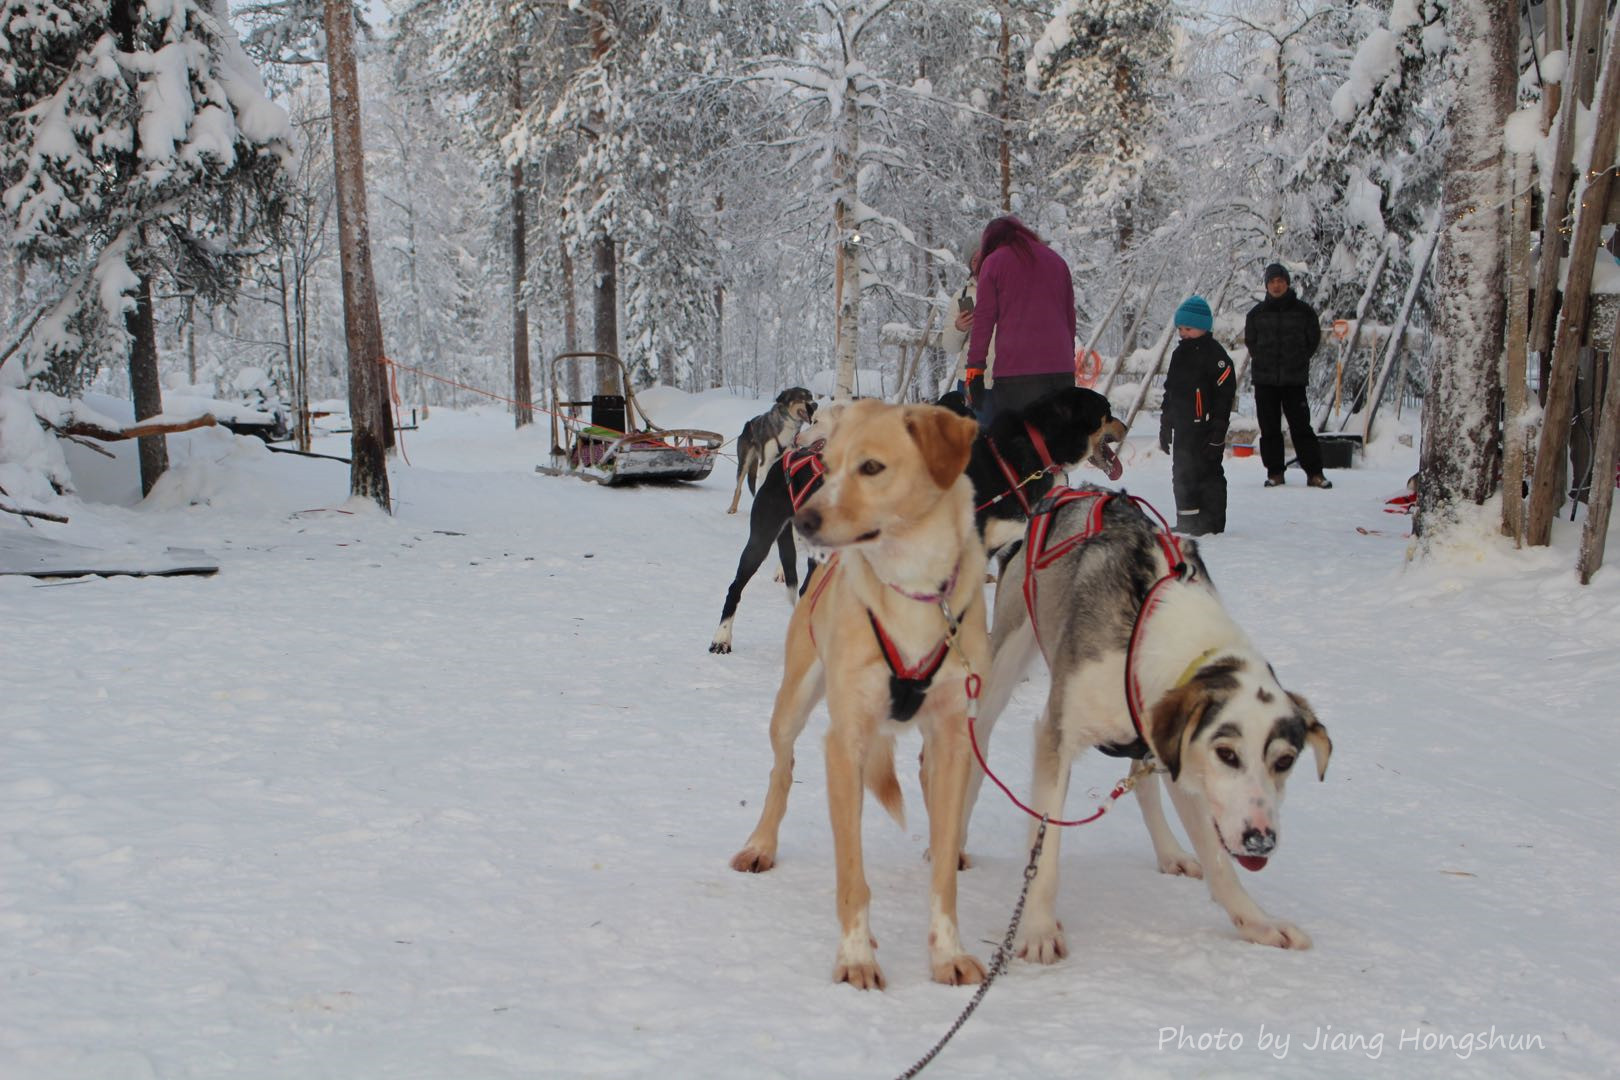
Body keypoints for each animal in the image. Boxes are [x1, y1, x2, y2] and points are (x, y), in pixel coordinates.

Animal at [732, 401, 984, 990]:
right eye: (827, 467)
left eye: (871, 467)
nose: (803, 521)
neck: (913, 591)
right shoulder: (844, 744)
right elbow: (852, 874)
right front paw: (855, 957)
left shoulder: (953, 740)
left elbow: (943, 870)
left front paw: (947, 952)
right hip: (793, 706)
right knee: (781, 769)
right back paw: (761, 844)